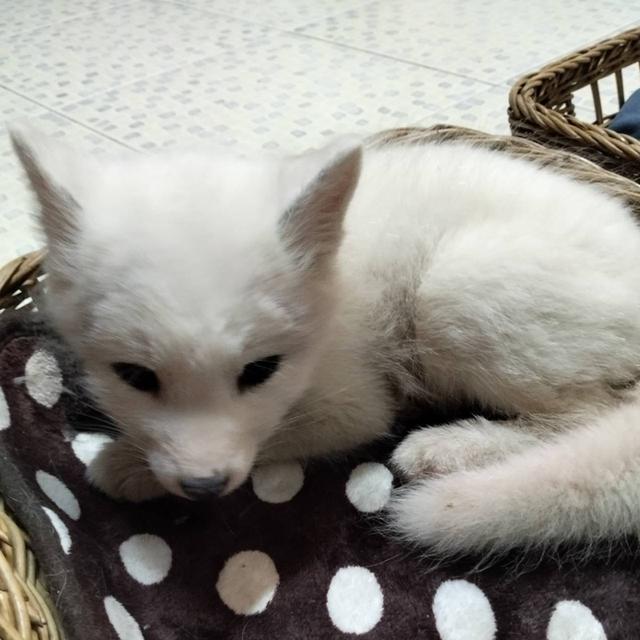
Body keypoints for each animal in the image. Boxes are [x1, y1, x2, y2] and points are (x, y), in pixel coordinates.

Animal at [11, 125, 640, 556]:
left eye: (260, 370)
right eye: (136, 377)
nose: (204, 486)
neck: (331, 285)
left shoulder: (356, 406)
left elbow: (282, 431)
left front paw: (123, 465)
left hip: (458, 286)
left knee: (587, 414)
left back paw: (449, 447)